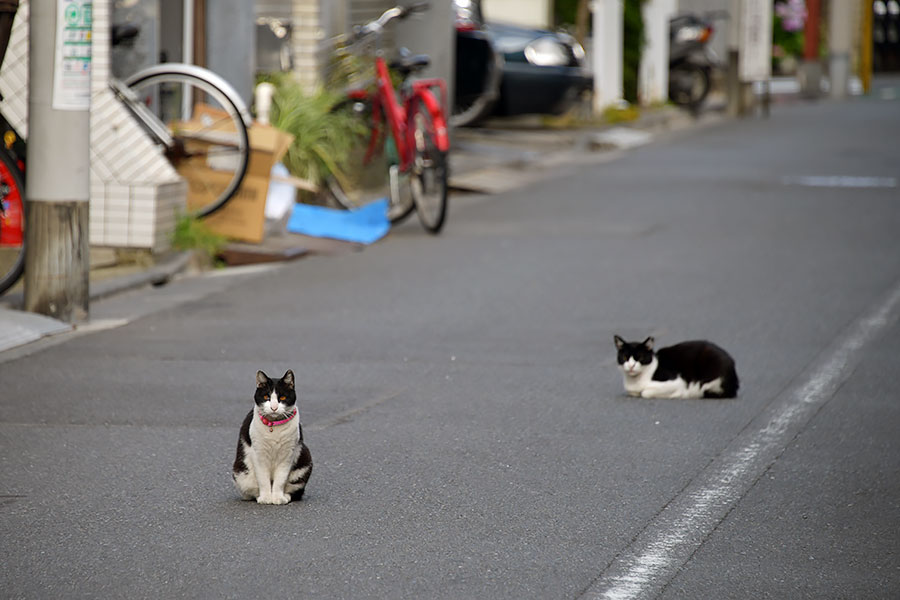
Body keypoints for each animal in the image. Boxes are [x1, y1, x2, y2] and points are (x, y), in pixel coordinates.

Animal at [232, 368, 312, 504]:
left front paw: (278, 498)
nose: (273, 407)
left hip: (305, 459)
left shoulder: (288, 455)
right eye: (266, 397)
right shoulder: (258, 454)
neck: (274, 427)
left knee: (295, 491)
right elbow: (263, 479)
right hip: (240, 473)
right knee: (249, 492)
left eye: (283, 397)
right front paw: (265, 498)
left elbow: (280, 479)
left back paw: (285, 497)